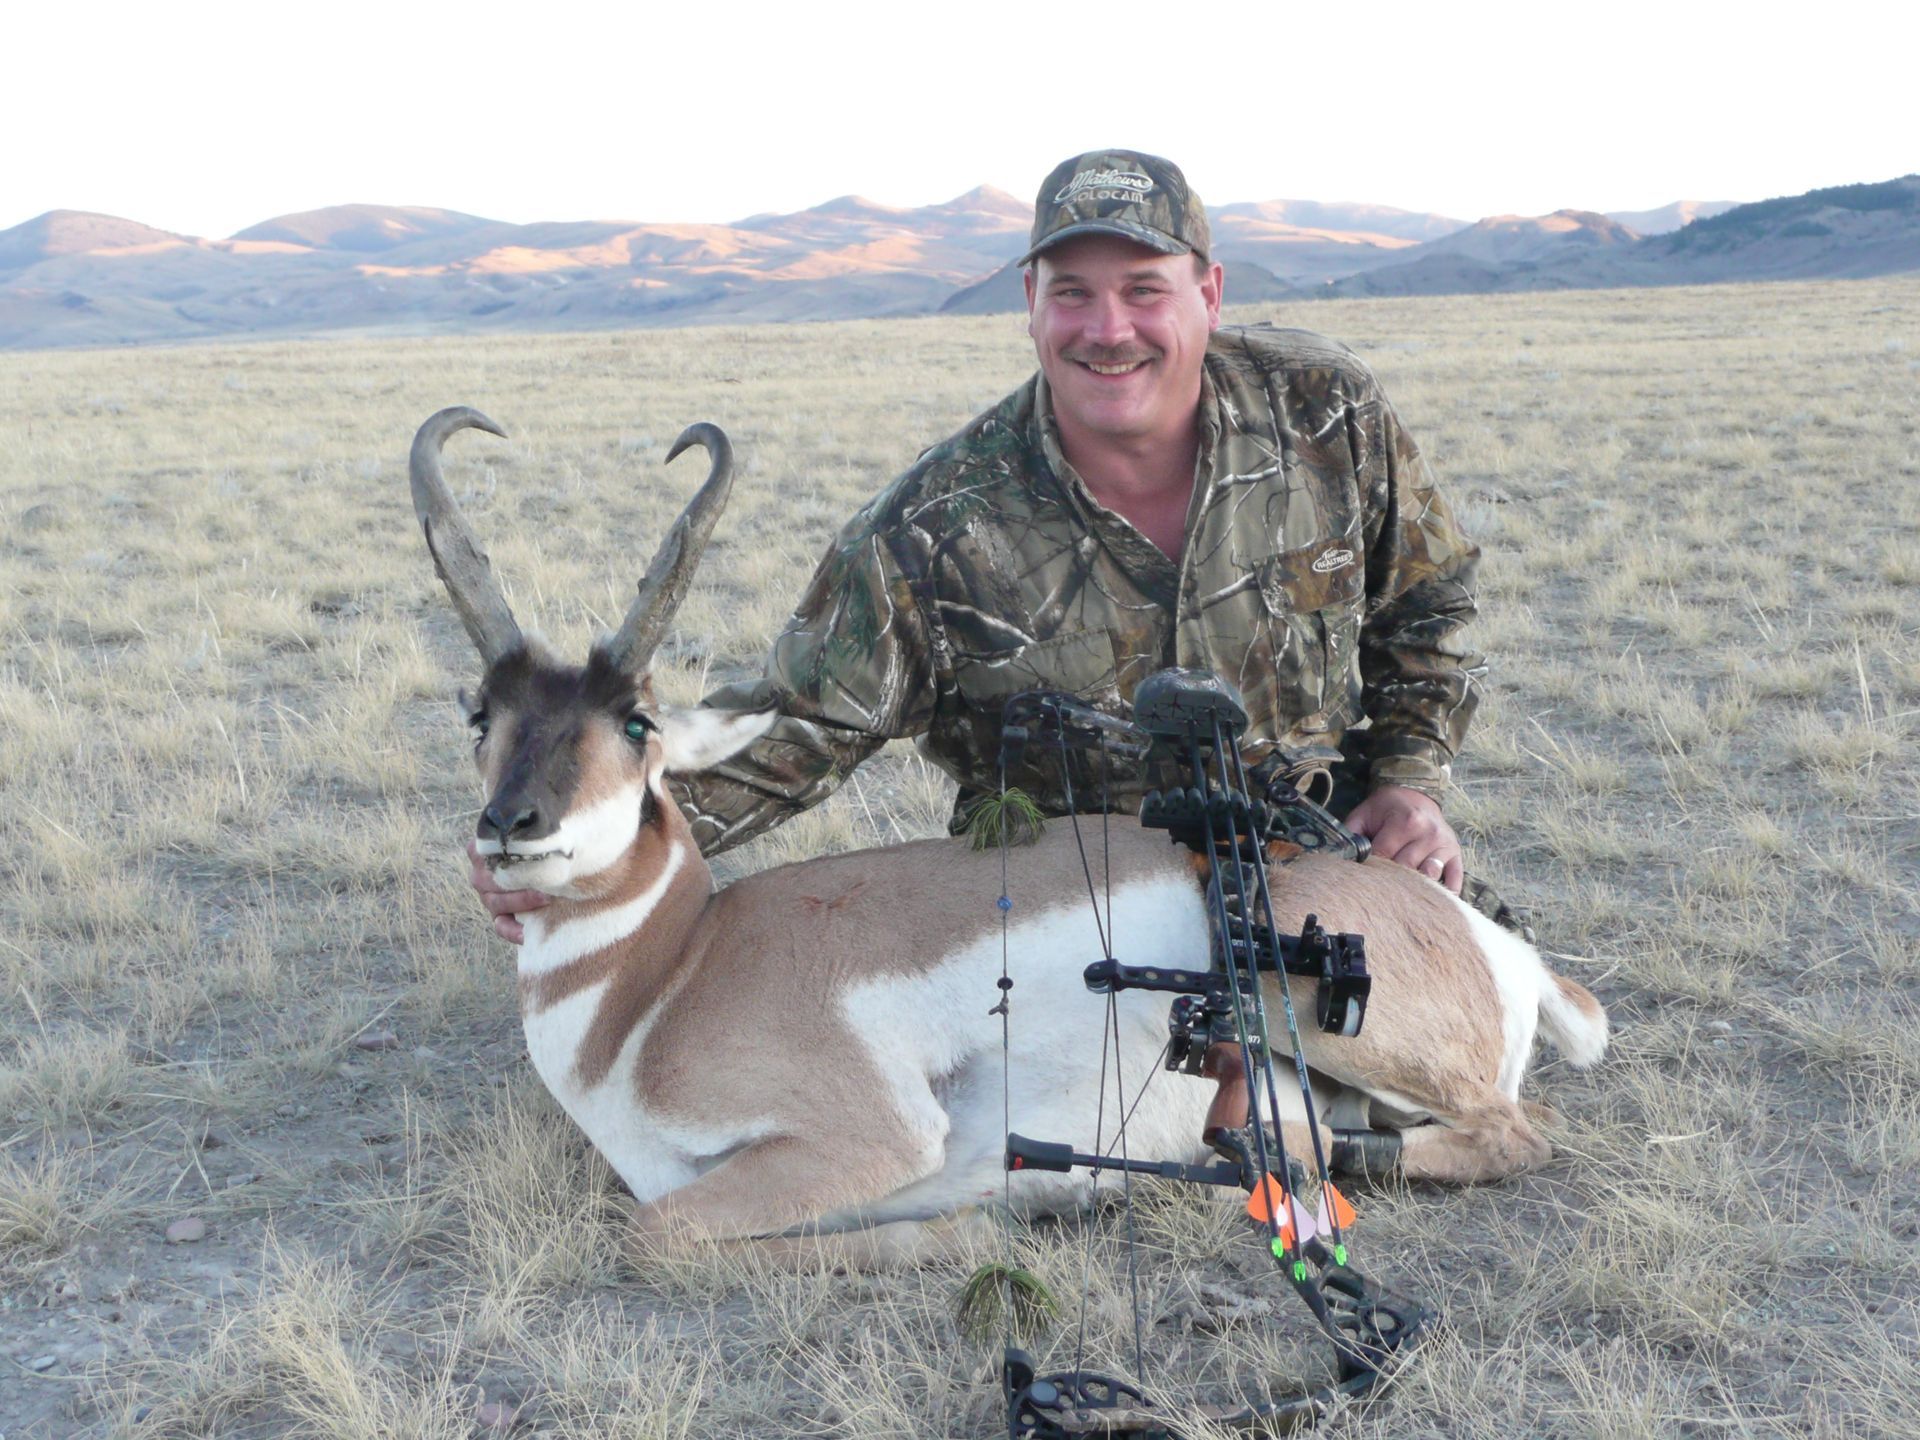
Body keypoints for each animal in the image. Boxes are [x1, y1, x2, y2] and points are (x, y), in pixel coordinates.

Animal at [410, 407, 1608, 1253]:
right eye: (481, 714)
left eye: (636, 720)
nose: (512, 825)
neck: (664, 979)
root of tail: (1477, 934)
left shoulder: (865, 1139)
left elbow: (652, 1231)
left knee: (1514, 1136)